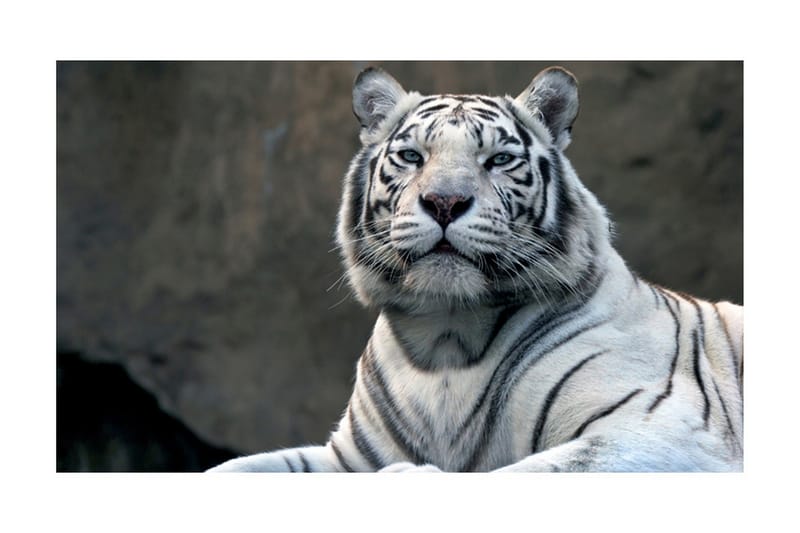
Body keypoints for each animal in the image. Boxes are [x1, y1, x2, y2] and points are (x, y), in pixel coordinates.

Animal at [208, 66, 743, 473]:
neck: (444, 341)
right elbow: (235, 467)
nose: (444, 201)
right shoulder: (347, 458)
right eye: (412, 156)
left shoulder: (659, 428)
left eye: (499, 159)